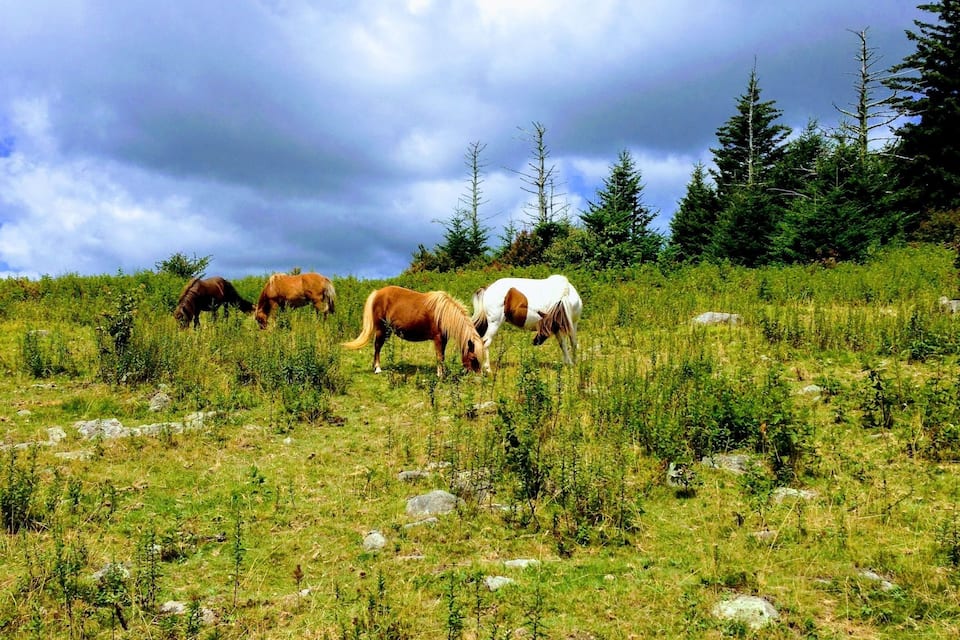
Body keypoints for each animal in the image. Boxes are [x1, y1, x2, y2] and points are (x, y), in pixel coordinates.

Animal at [342, 285, 485, 377]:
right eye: (473, 357)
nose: (479, 375)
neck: (443, 313)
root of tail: (377, 293)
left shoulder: (443, 339)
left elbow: (442, 356)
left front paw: (443, 372)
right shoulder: (438, 338)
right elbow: (439, 356)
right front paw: (440, 375)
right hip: (381, 329)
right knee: (377, 347)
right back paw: (377, 368)